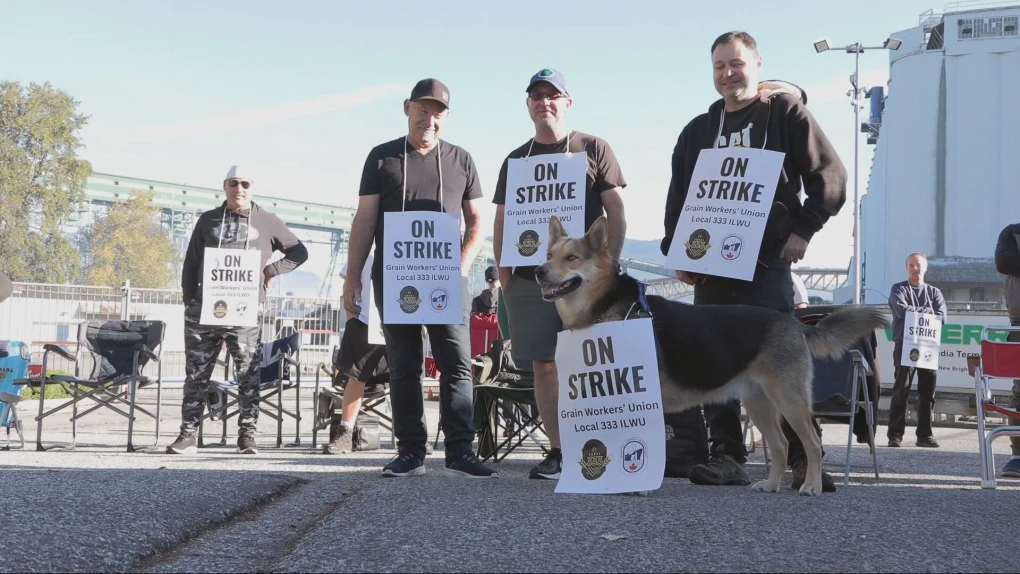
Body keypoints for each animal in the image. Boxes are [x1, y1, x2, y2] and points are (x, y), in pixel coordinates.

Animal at [534, 216, 885, 493]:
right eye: (549, 255)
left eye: (571, 258)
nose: (538, 271)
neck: (606, 302)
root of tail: (794, 323)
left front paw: (639, 486)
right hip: (758, 404)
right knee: (781, 445)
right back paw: (771, 485)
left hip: (789, 400)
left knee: (810, 442)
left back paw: (811, 485)